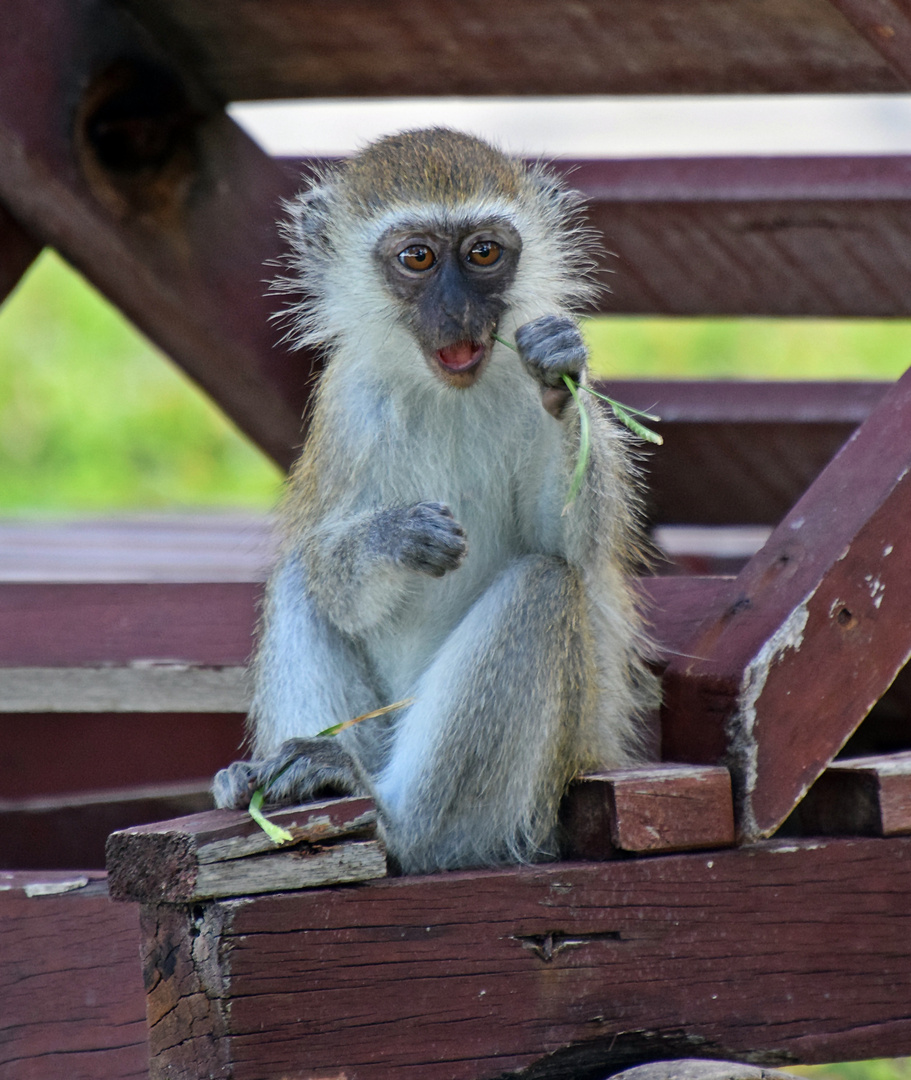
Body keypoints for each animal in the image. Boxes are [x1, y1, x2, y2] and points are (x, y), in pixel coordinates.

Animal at [213, 126, 656, 872]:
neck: (447, 393)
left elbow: (571, 541)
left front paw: (559, 369)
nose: (458, 311)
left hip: (555, 768)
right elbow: (335, 579)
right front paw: (396, 536)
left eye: (483, 253)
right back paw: (305, 780)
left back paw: (401, 825)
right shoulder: (348, 408)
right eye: (417, 257)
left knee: (542, 585)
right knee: (301, 574)